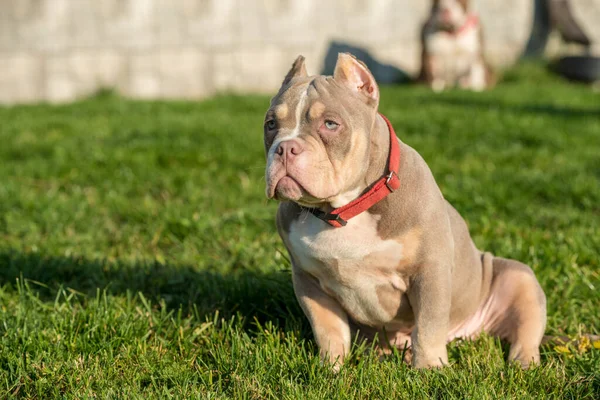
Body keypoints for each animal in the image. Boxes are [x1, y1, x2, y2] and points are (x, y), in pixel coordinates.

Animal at [264, 53, 548, 368]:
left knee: (525, 329)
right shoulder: (309, 281)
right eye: (271, 124)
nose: (285, 148)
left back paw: (523, 363)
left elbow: (428, 326)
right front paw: (330, 367)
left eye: (330, 124)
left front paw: (429, 369)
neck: (344, 210)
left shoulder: (429, 271)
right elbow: (328, 329)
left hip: (519, 278)